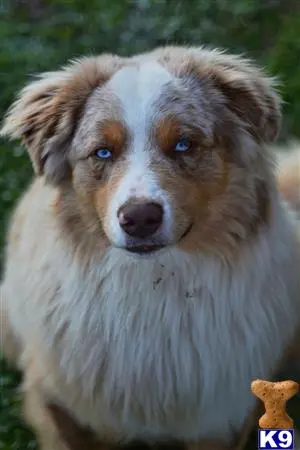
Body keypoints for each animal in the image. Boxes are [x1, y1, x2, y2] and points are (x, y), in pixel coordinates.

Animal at [0, 46, 300, 450]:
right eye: (103, 152)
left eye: (184, 144)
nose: (140, 218)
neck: (154, 290)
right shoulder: (59, 405)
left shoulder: (223, 417)